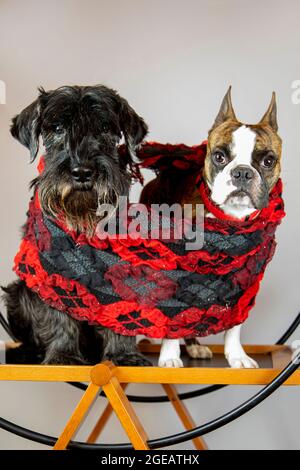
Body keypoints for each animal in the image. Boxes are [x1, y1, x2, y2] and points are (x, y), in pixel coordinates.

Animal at [1, 85, 152, 368]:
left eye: (104, 127)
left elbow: (121, 319)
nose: (81, 172)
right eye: (58, 127)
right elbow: (58, 314)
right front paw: (63, 355)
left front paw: (124, 355)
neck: (82, 220)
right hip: (17, 293)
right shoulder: (49, 273)